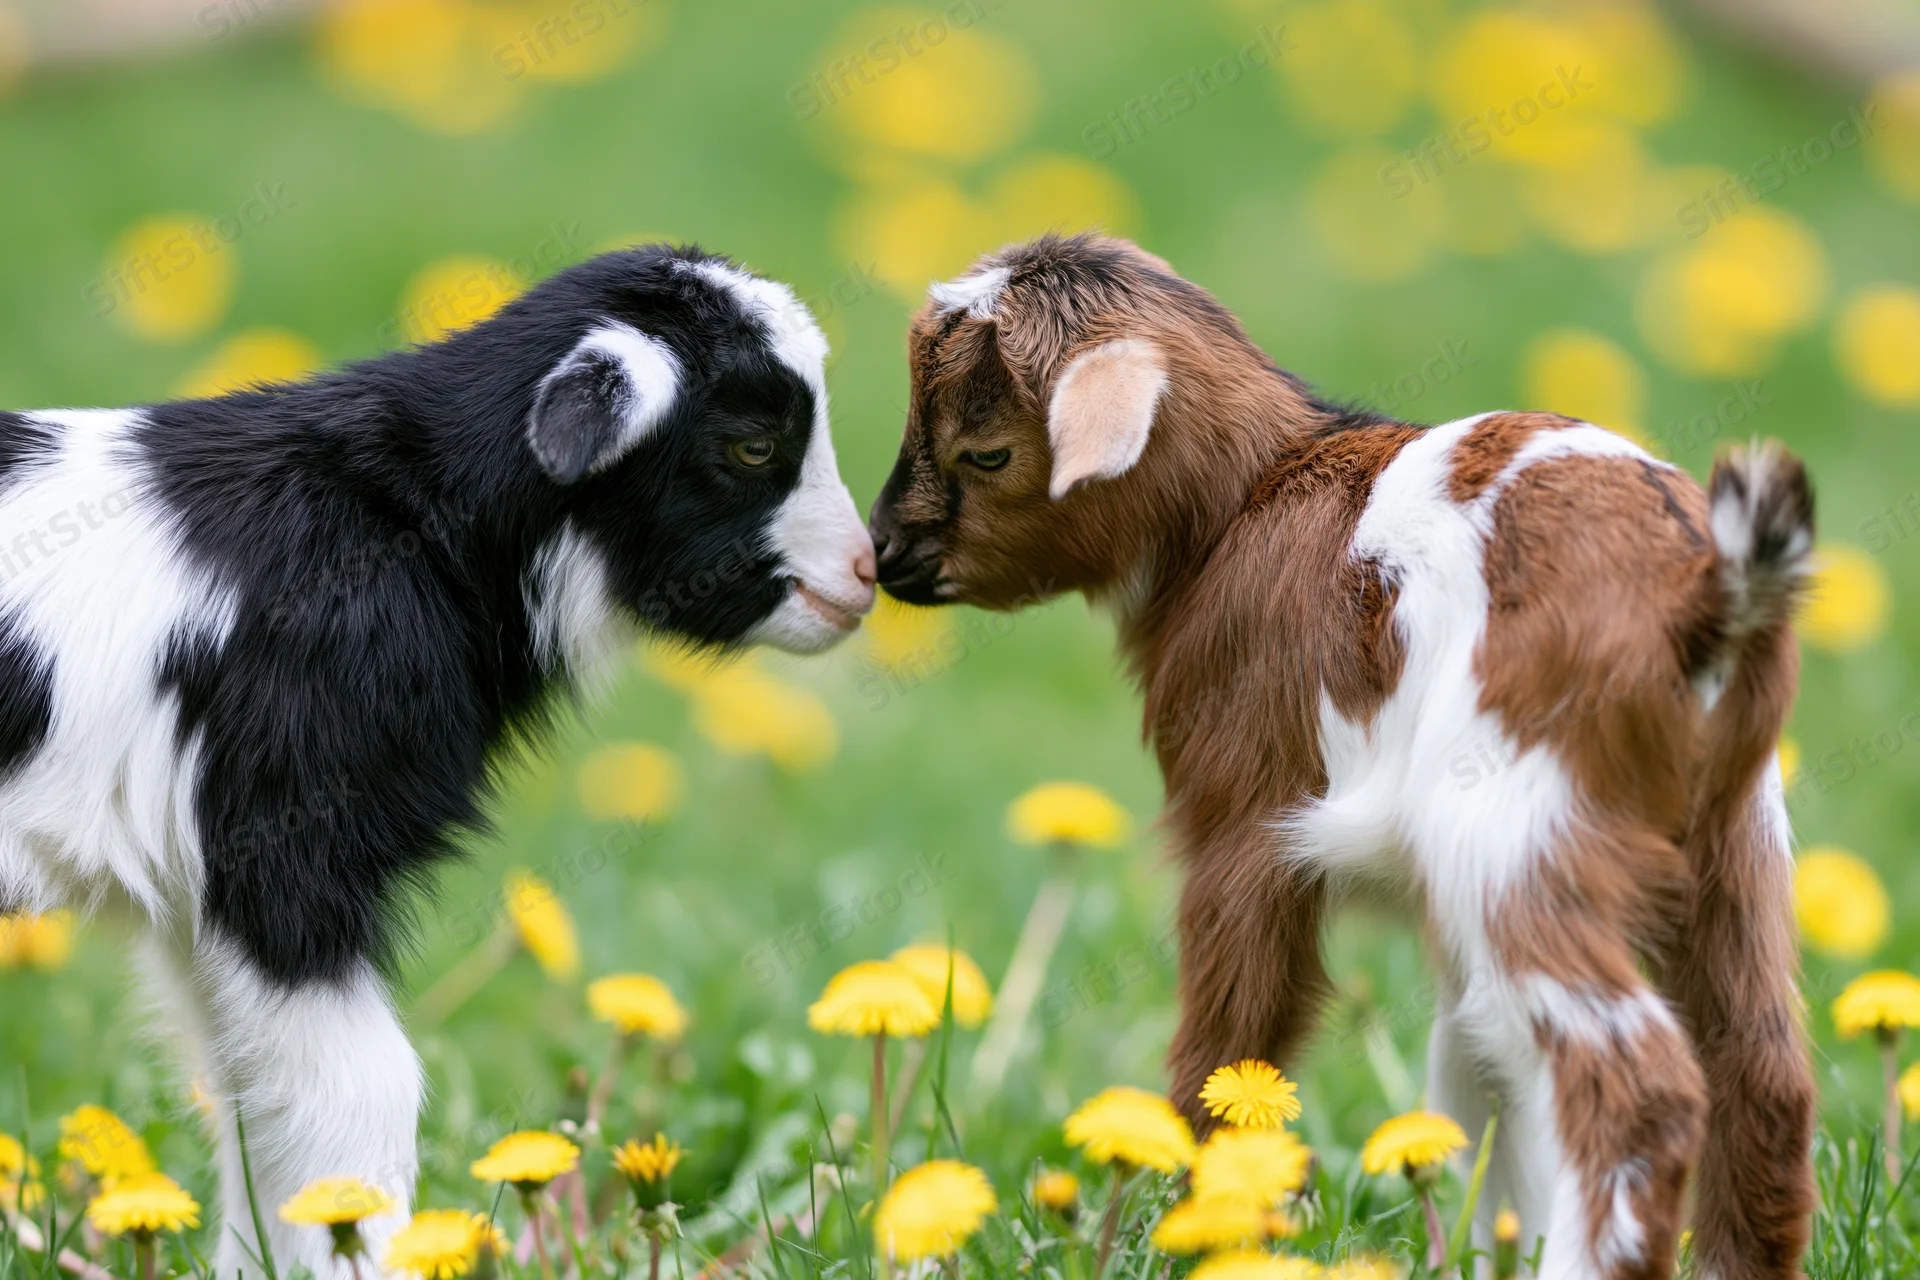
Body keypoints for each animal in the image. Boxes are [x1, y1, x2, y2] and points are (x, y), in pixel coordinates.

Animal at [0, 244, 875, 1277]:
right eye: (751, 447)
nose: (866, 572)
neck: (416, 519)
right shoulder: (287, 851)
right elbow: (360, 1087)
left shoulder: (206, 896)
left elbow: (253, 1095)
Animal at [868, 233, 1815, 1280]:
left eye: (985, 450)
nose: (885, 552)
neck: (1245, 502)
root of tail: (1708, 592)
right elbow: (1479, 1071)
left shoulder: (1242, 824)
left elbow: (1235, 1034)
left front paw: (1192, 1216)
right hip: (1731, 842)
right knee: (1760, 1069)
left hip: (1518, 833)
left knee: (1636, 1079)